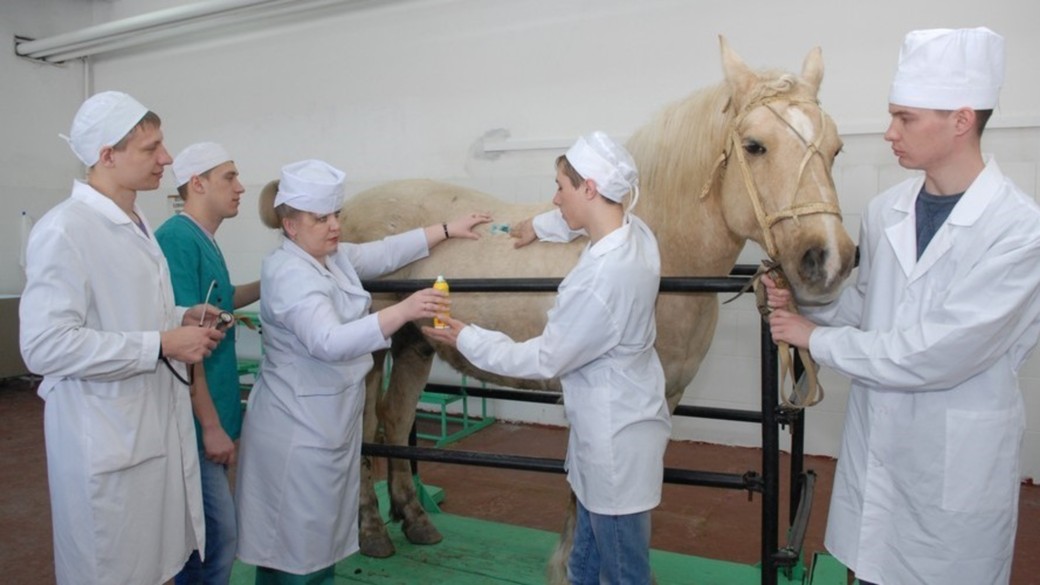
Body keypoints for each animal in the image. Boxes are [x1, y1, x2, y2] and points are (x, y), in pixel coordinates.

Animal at [341, 36, 852, 578]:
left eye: (835, 148)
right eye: (755, 146)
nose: (830, 259)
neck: (661, 258)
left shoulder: (666, 397)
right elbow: (584, 487)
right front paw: (569, 567)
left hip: (414, 342)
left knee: (395, 418)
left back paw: (414, 518)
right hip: (370, 352)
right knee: (365, 428)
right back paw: (372, 531)